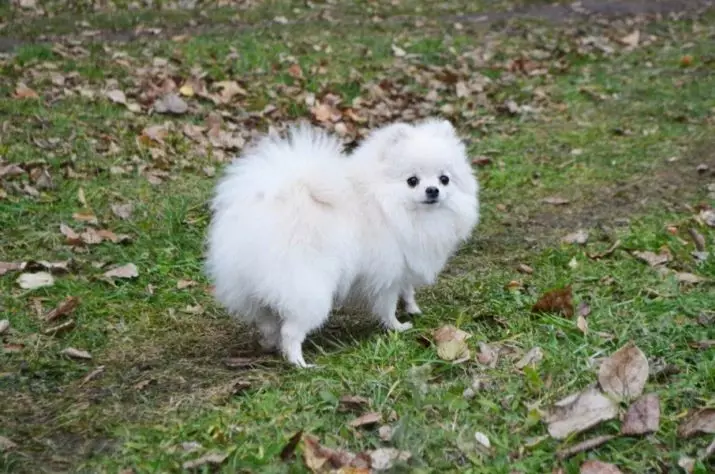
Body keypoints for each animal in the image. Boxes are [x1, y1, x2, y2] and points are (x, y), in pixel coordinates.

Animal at [204, 117, 478, 366]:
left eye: (444, 179)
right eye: (413, 180)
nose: (433, 191)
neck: (388, 203)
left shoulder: (404, 264)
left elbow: (407, 289)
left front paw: (413, 308)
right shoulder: (387, 272)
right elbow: (388, 305)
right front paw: (397, 326)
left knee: (268, 321)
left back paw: (273, 344)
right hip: (308, 287)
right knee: (291, 330)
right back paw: (298, 362)